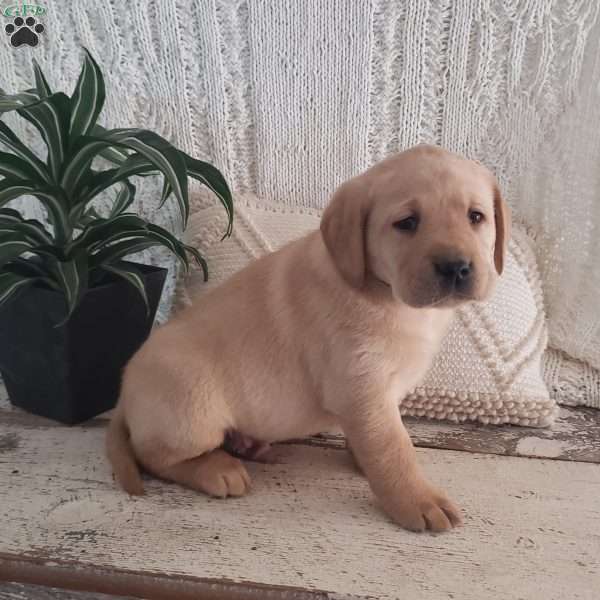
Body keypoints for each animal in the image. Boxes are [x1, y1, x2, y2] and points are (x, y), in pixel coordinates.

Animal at [105, 143, 508, 532]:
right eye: (406, 223)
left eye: (476, 217)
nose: (456, 267)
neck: (385, 294)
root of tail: (124, 393)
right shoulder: (363, 390)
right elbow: (392, 450)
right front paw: (418, 500)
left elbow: (376, 442)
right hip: (192, 410)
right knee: (152, 456)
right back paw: (217, 469)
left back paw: (246, 444)